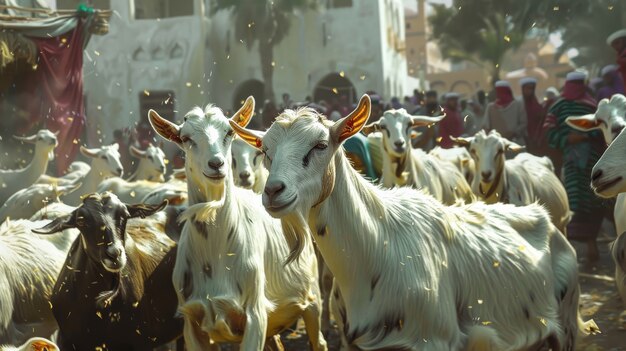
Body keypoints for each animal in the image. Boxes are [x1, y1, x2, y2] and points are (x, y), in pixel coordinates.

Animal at [148, 97, 326, 351]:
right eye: (185, 138)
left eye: (229, 132)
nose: (217, 164)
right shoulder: (193, 322)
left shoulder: (255, 315)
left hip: (311, 299)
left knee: (318, 339)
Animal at [230, 94, 596, 351]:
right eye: (266, 152)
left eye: (321, 145)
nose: (273, 191)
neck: (378, 246)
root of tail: (548, 223)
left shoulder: (435, 340)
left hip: (566, 324)